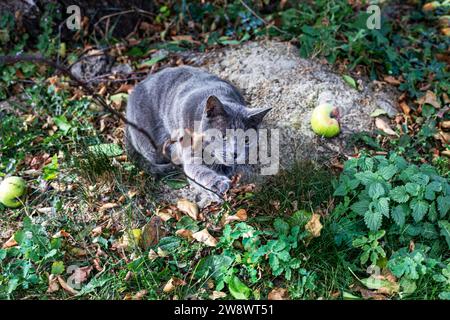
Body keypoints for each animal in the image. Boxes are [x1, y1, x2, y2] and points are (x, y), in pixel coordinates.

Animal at [124, 66, 270, 198]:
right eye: (223, 136)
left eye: (246, 140)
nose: (235, 153)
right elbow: (197, 169)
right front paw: (217, 184)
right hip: (153, 148)